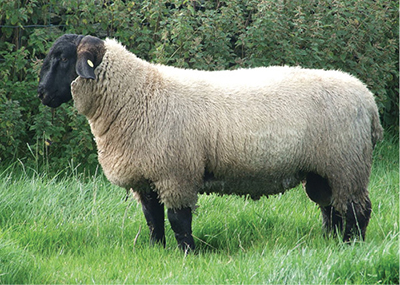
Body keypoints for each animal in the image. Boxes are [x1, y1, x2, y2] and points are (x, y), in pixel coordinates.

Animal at [38, 35, 384, 251]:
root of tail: (367, 99)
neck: (137, 95)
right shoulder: (146, 178)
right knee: (331, 207)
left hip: (347, 163)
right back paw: (329, 241)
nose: (41, 93)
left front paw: (187, 254)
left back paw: (352, 245)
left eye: (63, 58)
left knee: (357, 209)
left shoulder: (176, 174)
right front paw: (156, 250)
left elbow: (179, 220)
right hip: (323, 169)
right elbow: (153, 220)